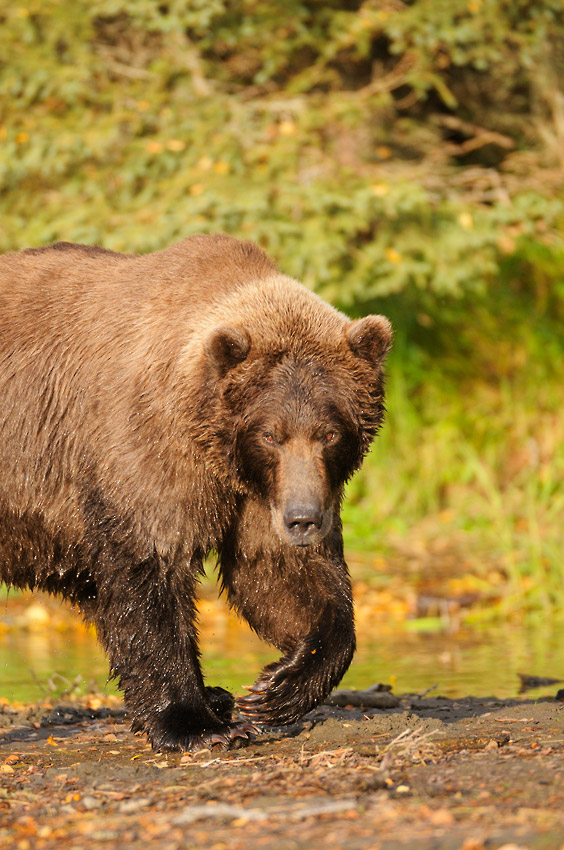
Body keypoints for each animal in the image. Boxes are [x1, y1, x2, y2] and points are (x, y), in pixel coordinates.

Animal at [0, 232, 392, 748]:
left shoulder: (260, 492)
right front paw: (196, 723)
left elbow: (278, 575)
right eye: (271, 434)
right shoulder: (146, 452)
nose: (303, 519)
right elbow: (150, 576)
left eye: (330, 433)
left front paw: (275, 687)